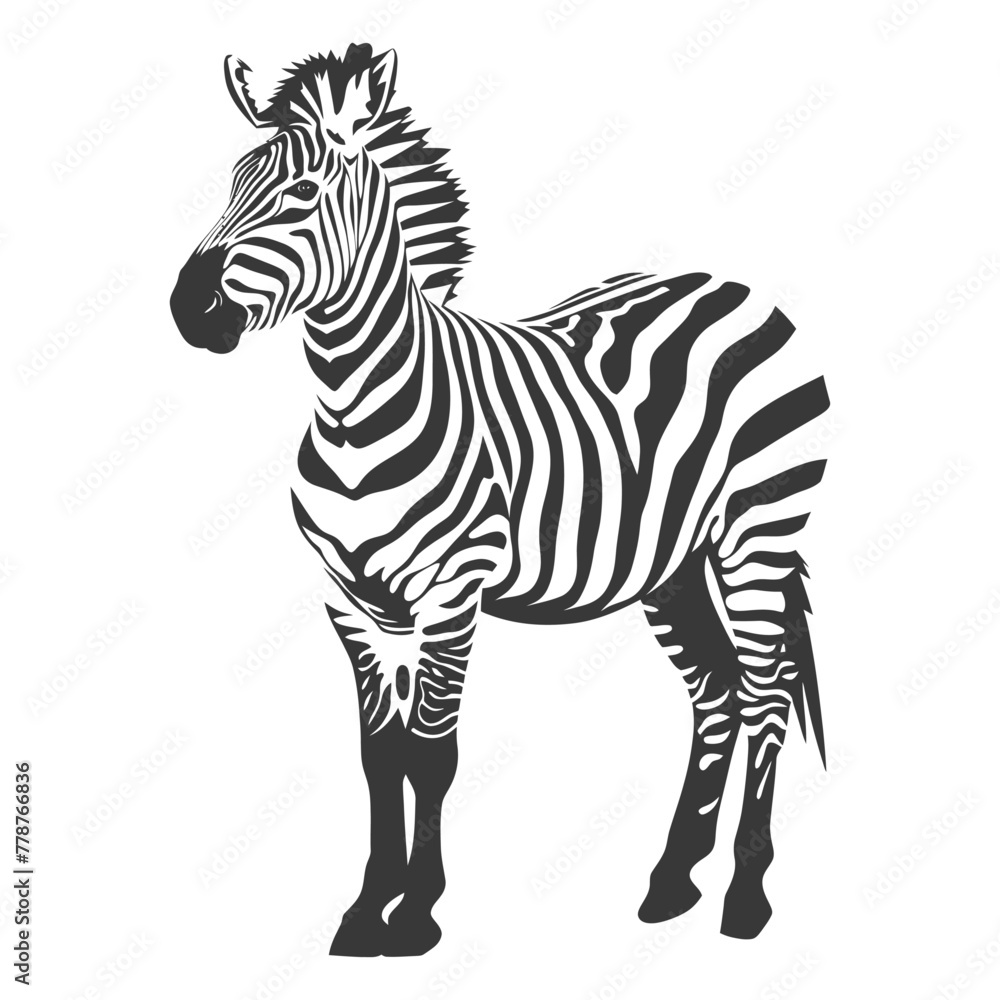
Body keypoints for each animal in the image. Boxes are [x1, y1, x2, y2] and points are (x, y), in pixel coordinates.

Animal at [170, 44, 829, 956]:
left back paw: (746, 896)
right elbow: (380, 757)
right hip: (671, 565)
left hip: (757, 535)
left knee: (765, 695)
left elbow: (433, 753)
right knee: (718, 693)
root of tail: (731, 286)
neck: (353, 409)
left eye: (299, 194)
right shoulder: (349, 603)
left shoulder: (454, 590)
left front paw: (415, 913)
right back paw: (672, 882)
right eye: (231, 182)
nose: (188, 309)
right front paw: (364, 910)